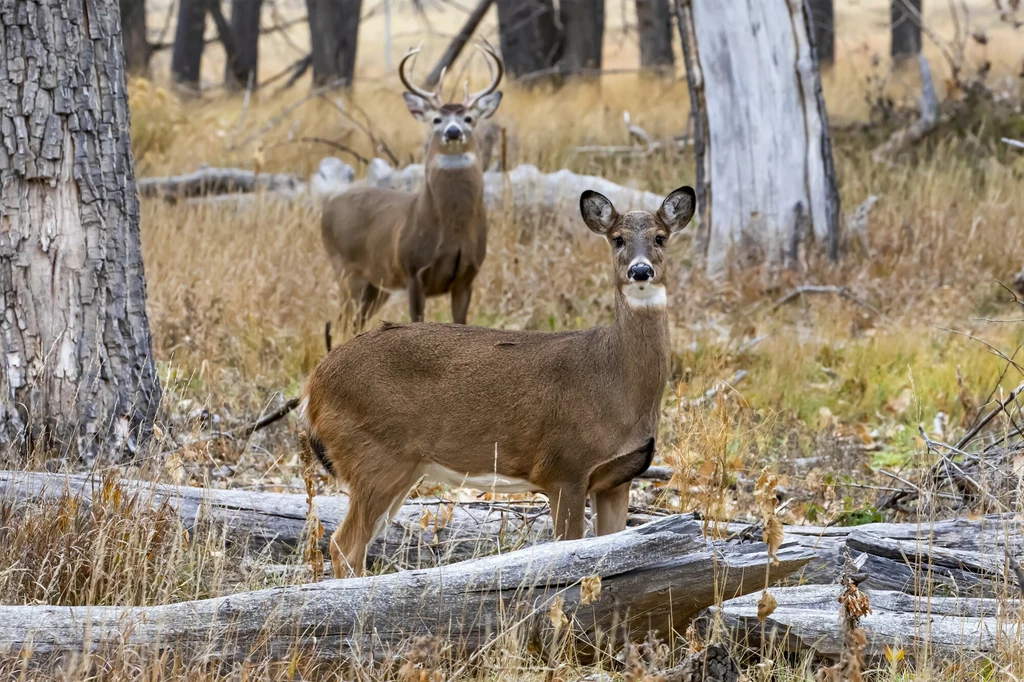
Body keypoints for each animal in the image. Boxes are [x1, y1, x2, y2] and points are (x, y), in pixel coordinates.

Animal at [299, 184, 696, 573]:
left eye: (660, 237)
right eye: (617, 239)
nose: (640, 271)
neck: (617, 383)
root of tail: (313, 387)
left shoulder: (617, 478)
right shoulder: (564, 467)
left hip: (401, 467)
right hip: (374, 456)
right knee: (344, 545)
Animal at [319, 43, 503, 329]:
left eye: (469, 118)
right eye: (436, 119)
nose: (452, 132)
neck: (453, 230)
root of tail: (327, 208)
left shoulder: (467, 275)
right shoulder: (412, 269)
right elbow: (416, 319)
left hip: (377, 286)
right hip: (346, 270)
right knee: (340, 322)